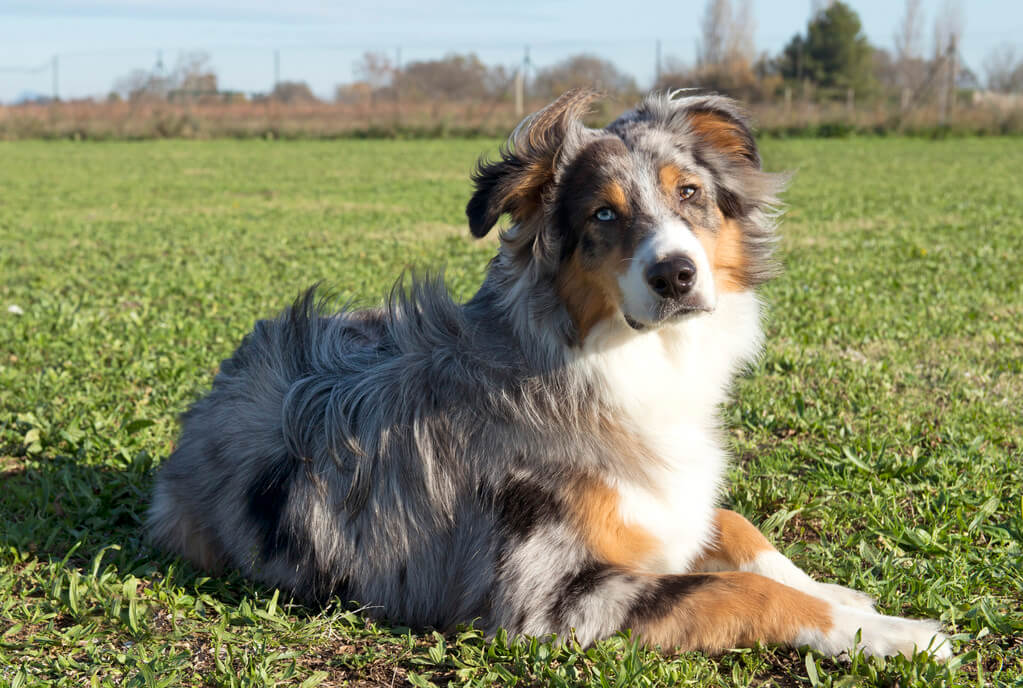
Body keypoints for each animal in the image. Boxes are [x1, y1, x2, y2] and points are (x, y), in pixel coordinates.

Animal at [149, 88, 949, 658]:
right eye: (602, 215)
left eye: (689, 192)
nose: (675, 275)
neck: (613, 363)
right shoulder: (548, 597)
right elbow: (735, 594)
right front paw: (895, 635)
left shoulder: (667, 500)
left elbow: (735, 526)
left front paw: (843, 594)